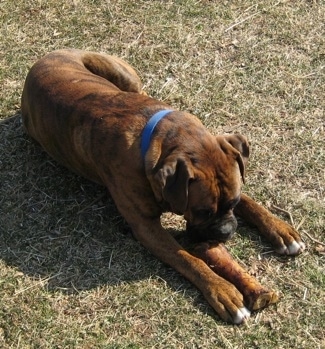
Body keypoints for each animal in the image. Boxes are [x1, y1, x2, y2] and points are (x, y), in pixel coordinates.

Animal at [21, 49, 306, 324]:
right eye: (202, 212)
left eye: (232, 203)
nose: (225, 233)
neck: (154, 140)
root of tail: (46, 57)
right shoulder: (146, 228)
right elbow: (187, 258)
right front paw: (222, 291)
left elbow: (250, 202)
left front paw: (280, 230)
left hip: (127, 78)